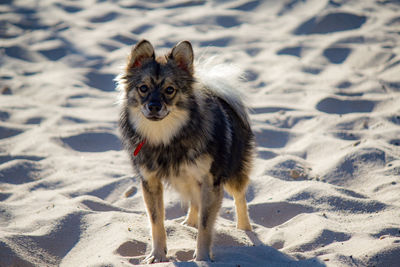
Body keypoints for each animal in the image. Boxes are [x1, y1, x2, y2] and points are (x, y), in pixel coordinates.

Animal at [117, 39, 253, 264]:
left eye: (170, 90)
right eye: (143, 88)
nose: (154, 106)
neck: (167, 138)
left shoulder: (210, 182)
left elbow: (206, 226)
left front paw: (203, 257)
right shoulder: (150, 182)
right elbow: (156, 222)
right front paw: (157, 255)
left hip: (232, 174)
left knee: (240, 199)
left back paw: (245, 230)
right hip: (190, 181)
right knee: (194, 202)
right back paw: (189, 223)